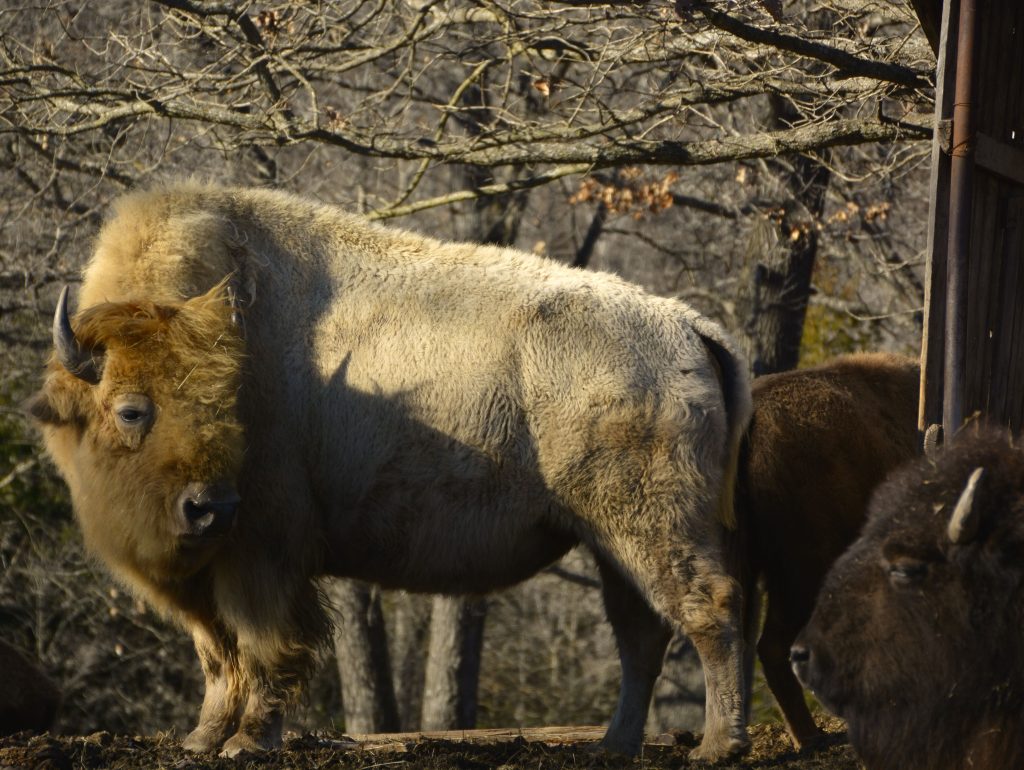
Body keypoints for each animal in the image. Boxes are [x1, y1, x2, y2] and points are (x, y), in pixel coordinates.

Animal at [29, 183, 753, 761]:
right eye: (131, 410)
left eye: (226, 402)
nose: (209, 507)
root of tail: (687, 325)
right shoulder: (208, 577)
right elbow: (217, 654)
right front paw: (201, 739)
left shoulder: (261, 555)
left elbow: (264, 647)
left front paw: (246, 743)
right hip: (609, 542)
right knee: (643, 635)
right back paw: (613, 747)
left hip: (652, 529)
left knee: (709, 610)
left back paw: (718, 746)